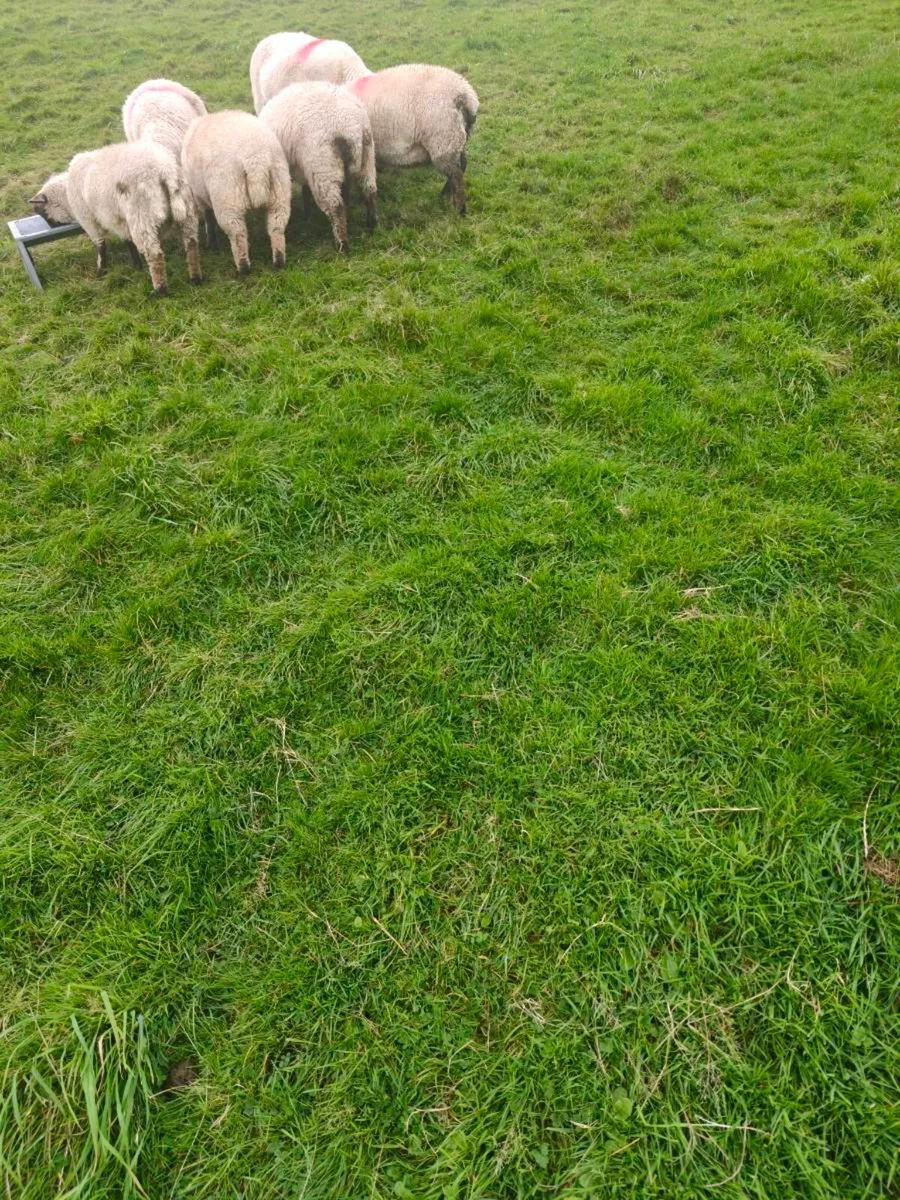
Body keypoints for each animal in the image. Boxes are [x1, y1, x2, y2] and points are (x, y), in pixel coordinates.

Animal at [29, 141, 201, 295]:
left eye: (39, 210)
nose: (51, 226)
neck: (66, 195)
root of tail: (165, 170)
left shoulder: (90, 220)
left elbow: (100, 246)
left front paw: (100, 272)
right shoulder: (120, 220)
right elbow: (128, 242)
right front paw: (137, 266)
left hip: (142, 215)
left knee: (154, 254)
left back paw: (159, 290)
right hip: (187, 209)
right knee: (191, 243)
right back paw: (195, 278)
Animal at [180, 111, 291, 274]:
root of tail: (255, 158)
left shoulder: (200, 196)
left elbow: (208, 217)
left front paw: (211, 242)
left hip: (228, 199)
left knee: (237, 234)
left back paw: (243, 267)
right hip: (279, 192)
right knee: (277, 227)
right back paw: (278, 260)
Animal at [259, 83, 376, 252]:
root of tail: (350, 126)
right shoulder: (304, 170)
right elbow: (307, 191)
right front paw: (307, 216)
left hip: (322, 166)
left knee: (336, 206)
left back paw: (342, 245)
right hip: (367, 158)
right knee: (370, 191)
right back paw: (372, 224)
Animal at [348, 65, 478, 214]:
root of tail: (466, 94)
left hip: (443, 140)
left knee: (456, 175)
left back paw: (459, 210)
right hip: (457, 138)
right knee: (462, 165)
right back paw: (444, 196)